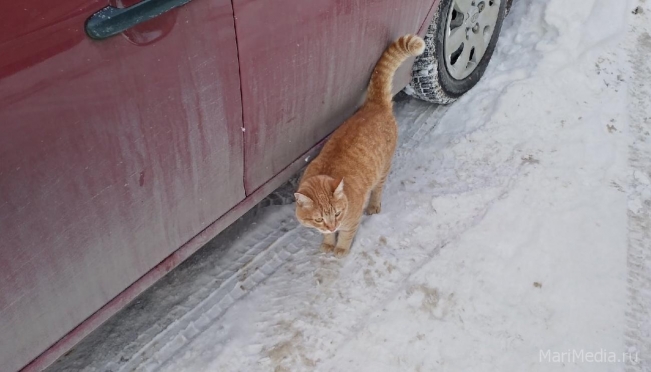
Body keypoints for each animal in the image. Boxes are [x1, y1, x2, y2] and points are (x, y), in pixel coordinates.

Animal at [296, 34, 428, 256]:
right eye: (319, 219)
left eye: (337, 213)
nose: (332, 226)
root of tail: (373, 105)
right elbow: (327, 236)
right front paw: (328, 242)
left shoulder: (351, 220)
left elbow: (346, 235)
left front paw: (340, 249)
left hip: (382, 170)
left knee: (378, 190)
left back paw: (373, 206)